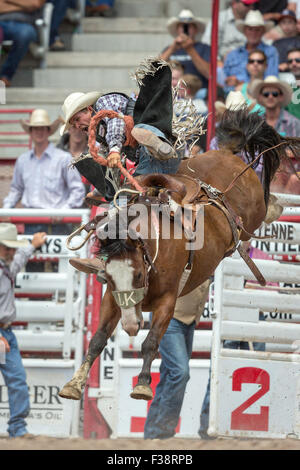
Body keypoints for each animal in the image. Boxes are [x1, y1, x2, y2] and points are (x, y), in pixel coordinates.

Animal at [58, 108, 300, 402]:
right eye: (107, 278)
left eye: (137, 275)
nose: (130, 327)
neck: (152, 251)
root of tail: (228, 154)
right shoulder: (112, 299)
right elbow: (98, 338)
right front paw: (74, 384)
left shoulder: (167, 301)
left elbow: (151, 342)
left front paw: (142, 385)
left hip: (253, 215)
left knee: (264, 209)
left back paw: (277, 206)